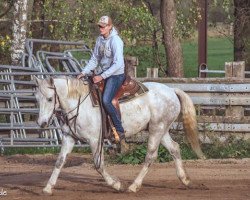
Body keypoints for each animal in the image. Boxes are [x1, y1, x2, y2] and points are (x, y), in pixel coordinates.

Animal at [33, 76, 205, 195]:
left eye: (50, 98)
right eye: (36, 99)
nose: (41, 123)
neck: (79, 104)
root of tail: (172, 90)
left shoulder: (95, 140)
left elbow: (98, 165)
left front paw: (116, 184)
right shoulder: (69, 137)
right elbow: (59, 162)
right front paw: (48, 188)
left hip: (157, 129)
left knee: (151, 155)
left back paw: (133, 186)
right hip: (161, 130)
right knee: (174, 148)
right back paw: (185, 180)